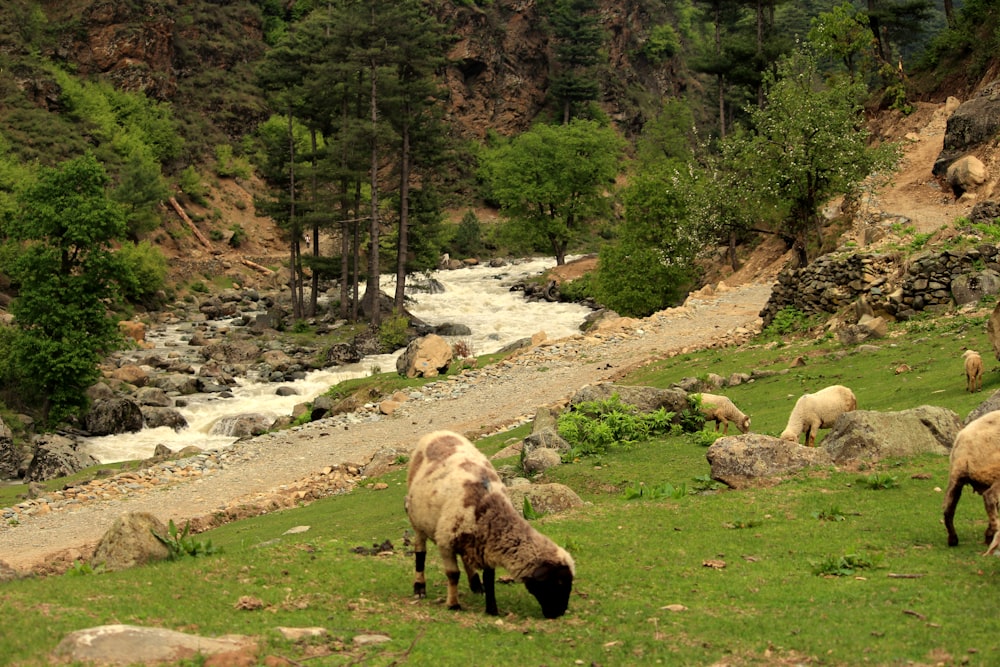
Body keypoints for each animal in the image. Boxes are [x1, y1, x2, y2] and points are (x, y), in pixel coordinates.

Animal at [406, 430, 580, 620]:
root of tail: (438, 432)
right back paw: (419, 587)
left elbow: (489, 580)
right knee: (420, 552)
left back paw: (475, 584)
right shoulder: (446, 542)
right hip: (417, 521)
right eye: (558, 582)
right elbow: (453, 575)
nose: (559, 613)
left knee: (466, 559)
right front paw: (453, 605)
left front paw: (492, 610)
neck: (490, 508)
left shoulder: (486, 545)